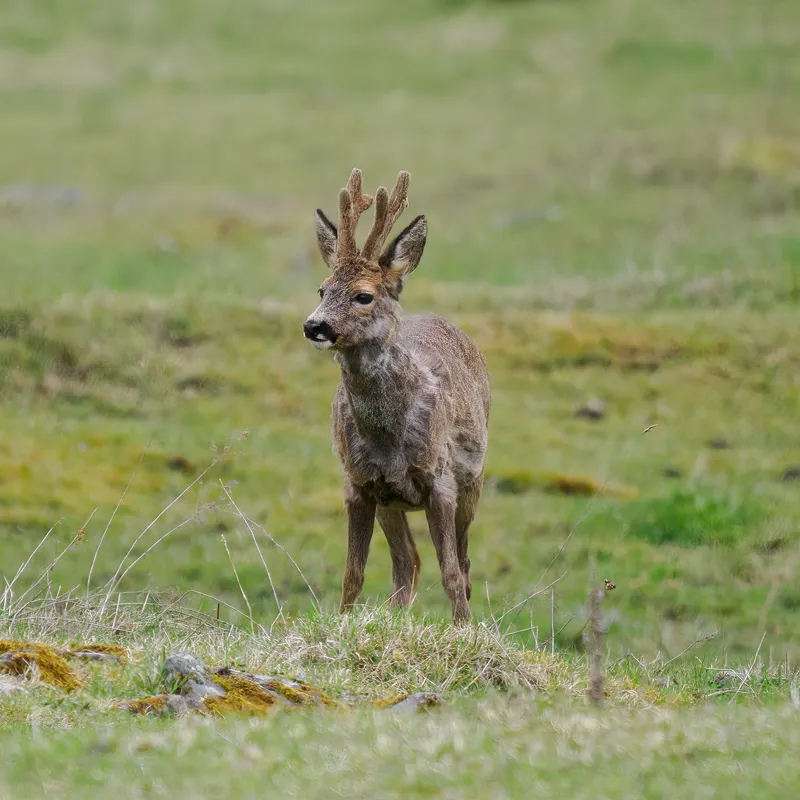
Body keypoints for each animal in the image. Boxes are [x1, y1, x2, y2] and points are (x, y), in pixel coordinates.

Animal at [303, 168, 490, 624]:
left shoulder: (440, 482)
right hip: (392, 501)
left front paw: (463, 631)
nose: (314, 326)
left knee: (463, 563)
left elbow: (451, 573)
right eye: (322, 289)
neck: (388, 437)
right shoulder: (358, 483)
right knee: (409, 561)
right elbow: (353, 573)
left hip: (472, 482)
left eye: (364, 295)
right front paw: (344, 622)